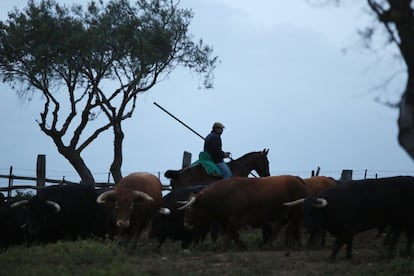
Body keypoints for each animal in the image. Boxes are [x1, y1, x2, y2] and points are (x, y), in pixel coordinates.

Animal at [178, 176, 308, 249]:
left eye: (190, 209)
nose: (185, 224)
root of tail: (298, 179)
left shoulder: (237, 220)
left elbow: (231, 233)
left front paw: (224, 246)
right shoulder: (228, 220)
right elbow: (233, 234)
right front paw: (241, 245)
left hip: (297, 210)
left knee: (298, 225)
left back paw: (300, 244)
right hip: (286, 213)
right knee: (281, 226)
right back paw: (268, 244)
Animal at [284, 176, 414, 262]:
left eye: (313, 211)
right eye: (303, 210)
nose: (306, 227)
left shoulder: (346, 228)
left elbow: (339, 243)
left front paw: (331, 257)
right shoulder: (349, 230)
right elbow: (348, 242)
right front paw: (348, 256)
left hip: (406, 220)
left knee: (404, 235)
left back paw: (401, 252)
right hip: (400, 221)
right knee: (400, 235)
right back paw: (398, 251)